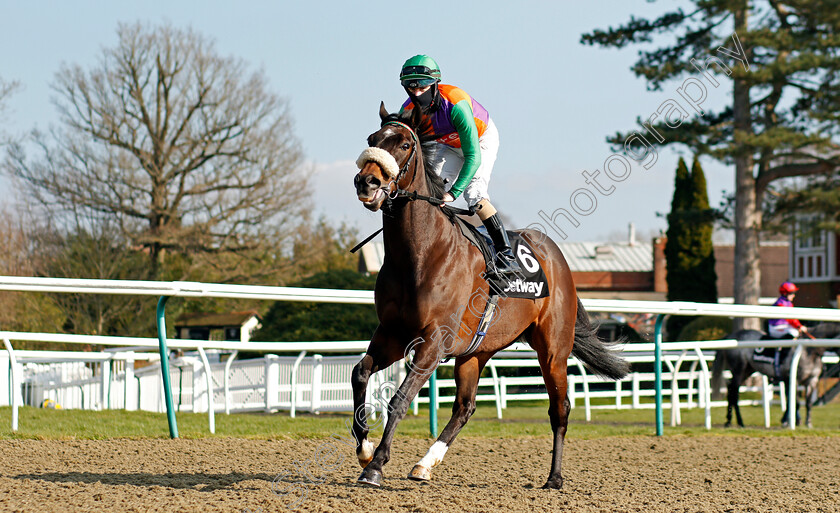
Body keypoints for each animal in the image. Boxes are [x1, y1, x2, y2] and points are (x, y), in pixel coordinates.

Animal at [350, 103, 632, 488]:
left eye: (406, 144)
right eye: (372, 139)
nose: (367, 182)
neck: (420, 253)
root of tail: (558, 258)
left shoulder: (434, 340)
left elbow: (401, 397)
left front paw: (376, 465)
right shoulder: (393, 333)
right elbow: (360, 373)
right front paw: (364, 447)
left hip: (553, 350)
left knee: (559, 408)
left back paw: (554, 478)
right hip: (476, 352)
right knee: (465, 407)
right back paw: (425, 464)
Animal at [708, 324, 840, 428]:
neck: (809, 351)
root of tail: (731, 335)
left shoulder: (811, 380)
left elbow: (807, 403)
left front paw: (808, 423)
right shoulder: (793, 379)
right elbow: (795, 402)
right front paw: (789, 422)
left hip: (747, 370)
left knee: (731, 390)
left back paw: (729, 421)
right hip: (738, 369)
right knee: (734, 393)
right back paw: (739, 422)